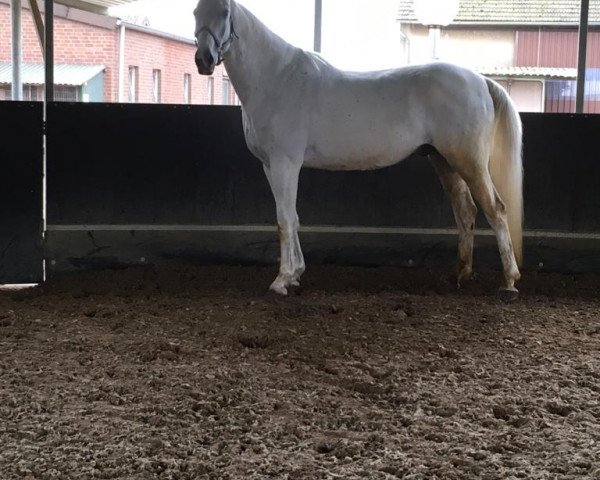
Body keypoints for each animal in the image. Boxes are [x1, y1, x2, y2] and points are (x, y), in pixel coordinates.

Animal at [192, 0, 520, 298]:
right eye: (195, 11)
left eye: (224, 12)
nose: (203, 60)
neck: (277, 78)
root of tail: (480, 80)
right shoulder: (270, 165)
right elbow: (290, 217)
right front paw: (296, 274)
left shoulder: (286, 163)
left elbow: (285, 219)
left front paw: (282, 280)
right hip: (444, 161)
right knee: (466, 211)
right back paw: (459, 274)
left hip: (469, 162)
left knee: (496, 210)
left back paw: (509, 282)